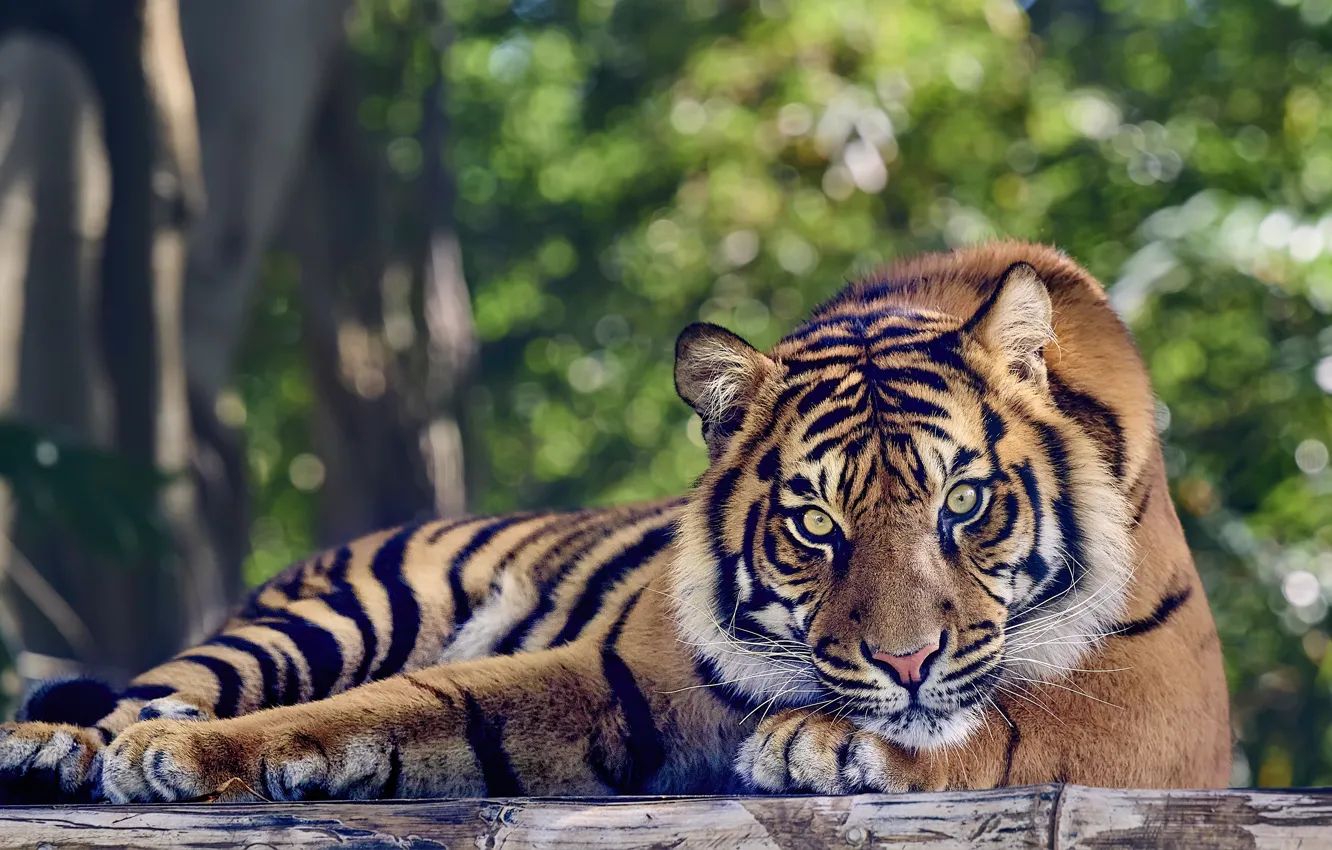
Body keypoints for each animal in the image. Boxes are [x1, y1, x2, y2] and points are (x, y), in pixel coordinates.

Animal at [0, 242, 1231, 804]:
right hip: (326, 615)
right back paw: (56, 750)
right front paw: (185, 755)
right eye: (814, 521)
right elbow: (414, 701)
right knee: (151, 687)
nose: (906, 660)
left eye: (961, 501)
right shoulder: (629, 673)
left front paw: (824, 740)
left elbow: (1012, 719)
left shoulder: (1156, 701)